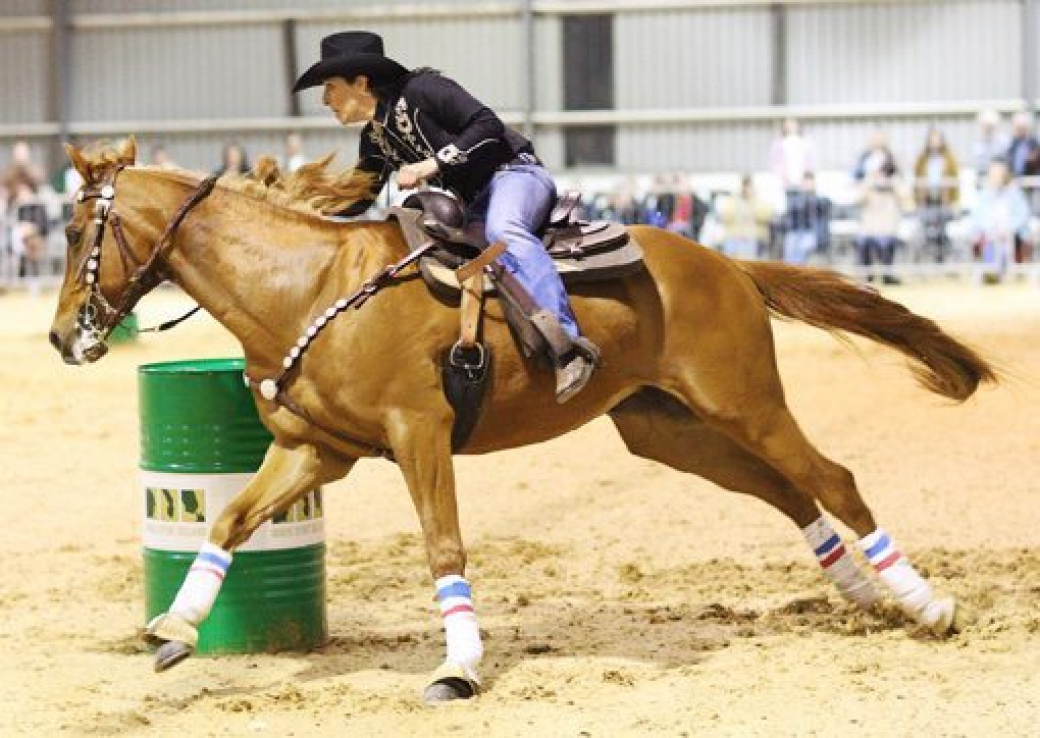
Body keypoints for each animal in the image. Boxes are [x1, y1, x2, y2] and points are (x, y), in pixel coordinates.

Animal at [50, 140, 998, 706]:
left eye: (74, 229)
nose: (64, 335)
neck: (312, 284)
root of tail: (727, 262)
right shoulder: (317, 451)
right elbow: (230, 522)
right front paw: (174, 630)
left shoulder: (419, 436)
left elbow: (444, 548)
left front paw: (459, 668)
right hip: (669, 428)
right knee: (787, 489)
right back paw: (861, 594)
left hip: (745, 401)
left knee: (830, 476)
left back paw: (927, 604)